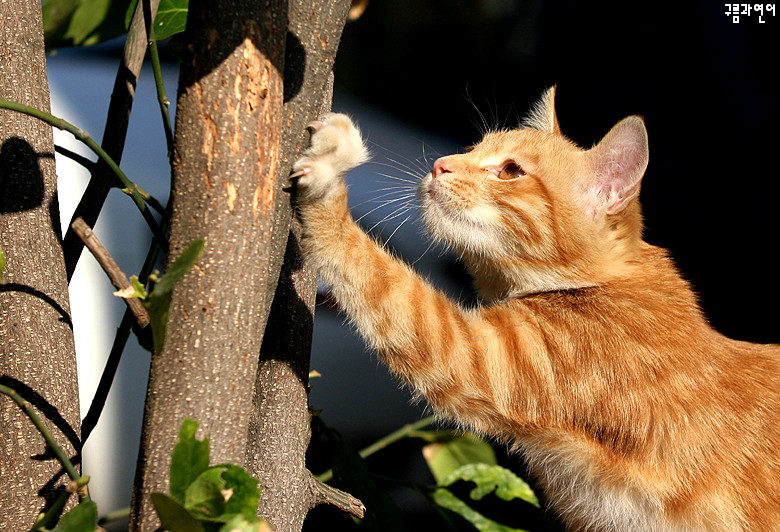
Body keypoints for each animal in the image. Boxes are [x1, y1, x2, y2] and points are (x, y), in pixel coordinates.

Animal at [292, 89, 780, 528]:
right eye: (473, 148)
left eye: (510, 170)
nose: (440, 164)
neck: (607, 281)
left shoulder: (470, 351)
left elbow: (377, 275)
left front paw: (326, 179)